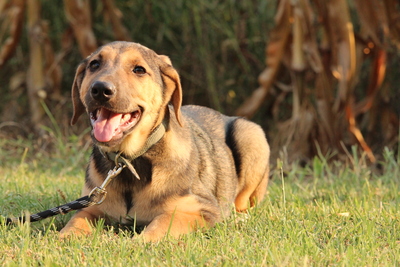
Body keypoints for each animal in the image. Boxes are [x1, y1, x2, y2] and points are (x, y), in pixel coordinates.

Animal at [60, 42, 272, 243]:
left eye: (139, 70)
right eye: (94, 64)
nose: (100, 89)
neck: (130, 161)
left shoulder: (203, 209)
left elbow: (164, 222)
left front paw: (138, 242)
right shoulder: (93, 206)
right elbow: (76, 220)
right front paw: (63, 237)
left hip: (252, 135)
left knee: (244, 204)